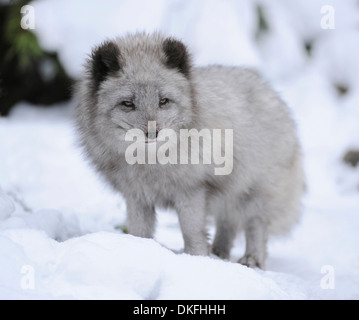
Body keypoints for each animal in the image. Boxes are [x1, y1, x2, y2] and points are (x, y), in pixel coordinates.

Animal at [74, 32, 306, 268]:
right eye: (128, 103)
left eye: (164, 101)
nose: (152, 133)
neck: (151, 164)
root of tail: (269, 89)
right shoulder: (136, 195)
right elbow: (139, 231)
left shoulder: (191, 189)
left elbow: (192, 231)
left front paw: (196, 259)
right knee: (228, 223)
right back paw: (220, 253)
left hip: (255, 191)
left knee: (255, 225)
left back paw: (251, 259)